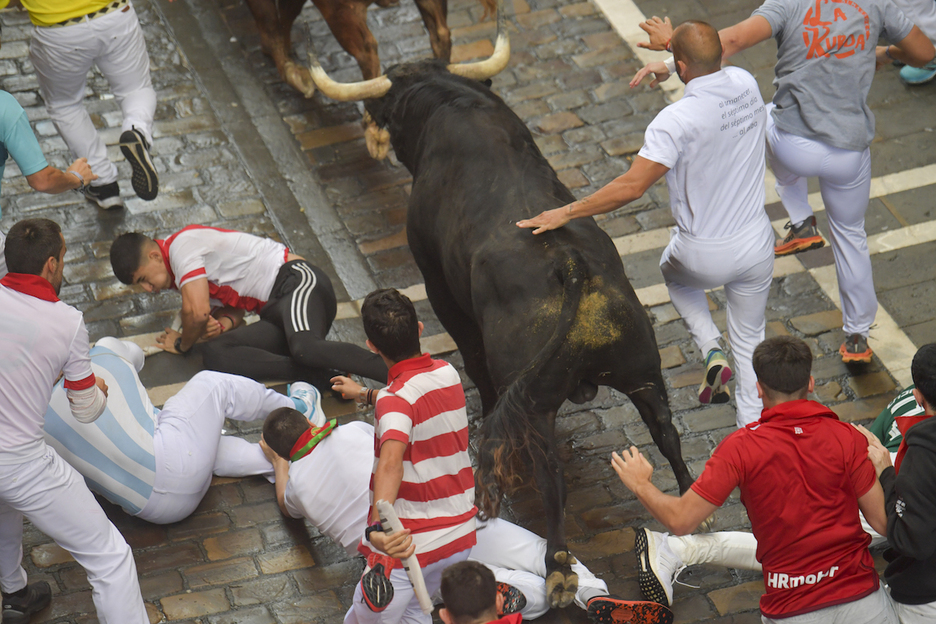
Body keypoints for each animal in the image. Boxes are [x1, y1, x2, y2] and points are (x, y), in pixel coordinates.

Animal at [366, 61, 696, 608]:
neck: (451, 102)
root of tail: (570, 263)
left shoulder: (436, 282)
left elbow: (473, 358)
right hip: (642, 367)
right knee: (666, 431)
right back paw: (693, 507)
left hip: (538, 404)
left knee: (551, 477)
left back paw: (558, 567)